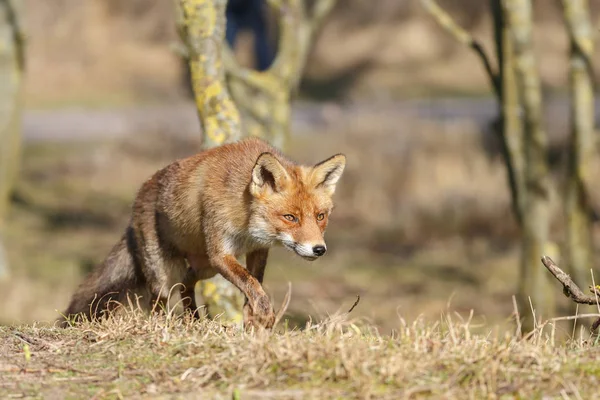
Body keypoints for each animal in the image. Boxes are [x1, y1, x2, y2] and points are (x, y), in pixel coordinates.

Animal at [61, 138, 346, 328]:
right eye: (290, 217)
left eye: (320, 217)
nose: (319, 249)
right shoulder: (220, 252)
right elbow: (251, 284)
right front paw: (264, 316)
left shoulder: (256, 249)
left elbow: (254, 286)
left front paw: (253, 322)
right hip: (166, 273)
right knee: (160, 300)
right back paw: (165, 326)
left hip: (203, 266)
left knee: (187, 285)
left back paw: (194, 323)